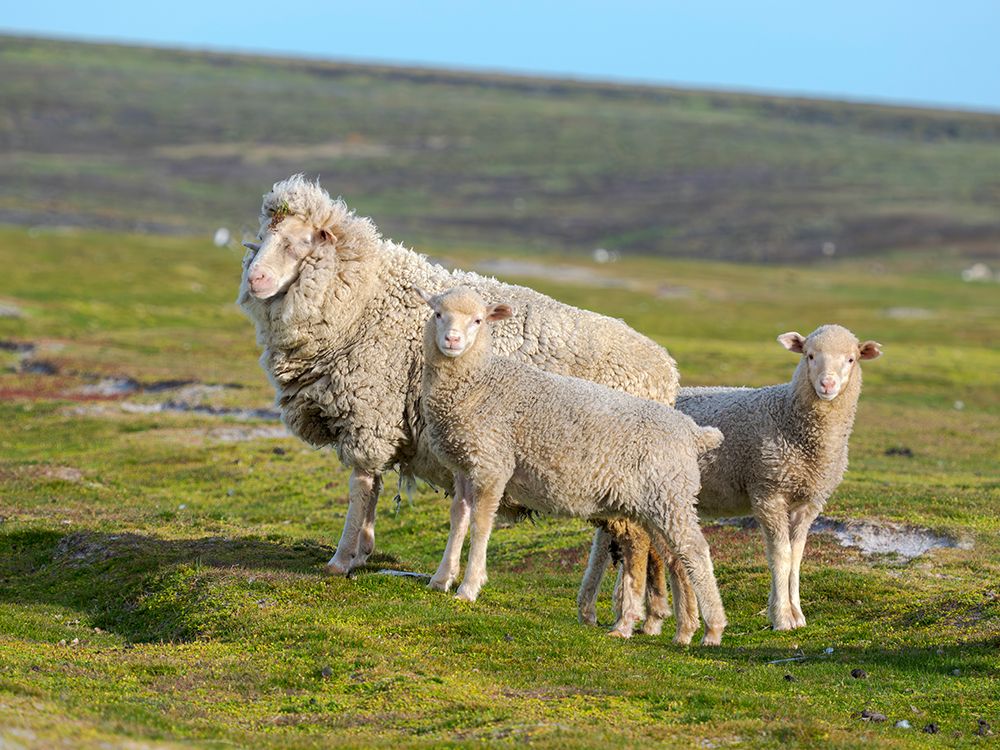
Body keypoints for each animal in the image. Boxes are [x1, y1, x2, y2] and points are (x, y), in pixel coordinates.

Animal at [237, 174, 680, 632]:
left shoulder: (369, 415)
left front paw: (342, 558)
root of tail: (666, 371)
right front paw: (363, 551)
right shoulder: (378, 423)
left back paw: (629, 617)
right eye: (263, 238)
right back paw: (617, 612)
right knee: (619, 538)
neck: (364, 297)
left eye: (298, 243)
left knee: (632, 539)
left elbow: (361, 488)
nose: (256, 280)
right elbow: (375, 488)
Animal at [416, 286, 728, 645]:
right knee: (673, 556)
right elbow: (459, 518)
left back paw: (711, 629)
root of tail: (691, 431)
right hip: (653, 503)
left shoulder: (493, 464)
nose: (452, 340)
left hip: (669, 496)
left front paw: (469, 587)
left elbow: (481, 525)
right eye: (438, 313)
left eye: (479, 320)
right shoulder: (464, 466)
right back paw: (681, 629)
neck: (480, 382)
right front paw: (441, 578)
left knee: (695, 551)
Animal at [578, 324, 883, 632]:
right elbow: (780, 555)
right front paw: (782, 617)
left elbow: (796, 557)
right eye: (809, 355)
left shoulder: (808, 502)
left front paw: (797, 614)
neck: (790, 418)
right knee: (608, 542)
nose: (827, 385)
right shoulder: (767, 491)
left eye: (851, 359)